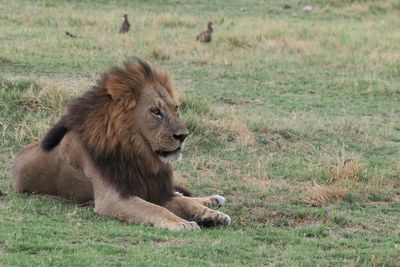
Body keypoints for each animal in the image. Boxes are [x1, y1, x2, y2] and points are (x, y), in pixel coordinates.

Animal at [12, 58, 230, 230]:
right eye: (155, 111)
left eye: (176, 108)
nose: (183, 136)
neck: (138, 154)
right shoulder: (113, 198)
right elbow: (155, 208)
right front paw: (182, 222)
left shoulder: (154, 188)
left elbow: (183, 202)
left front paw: (208, 214)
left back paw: (214, 204)